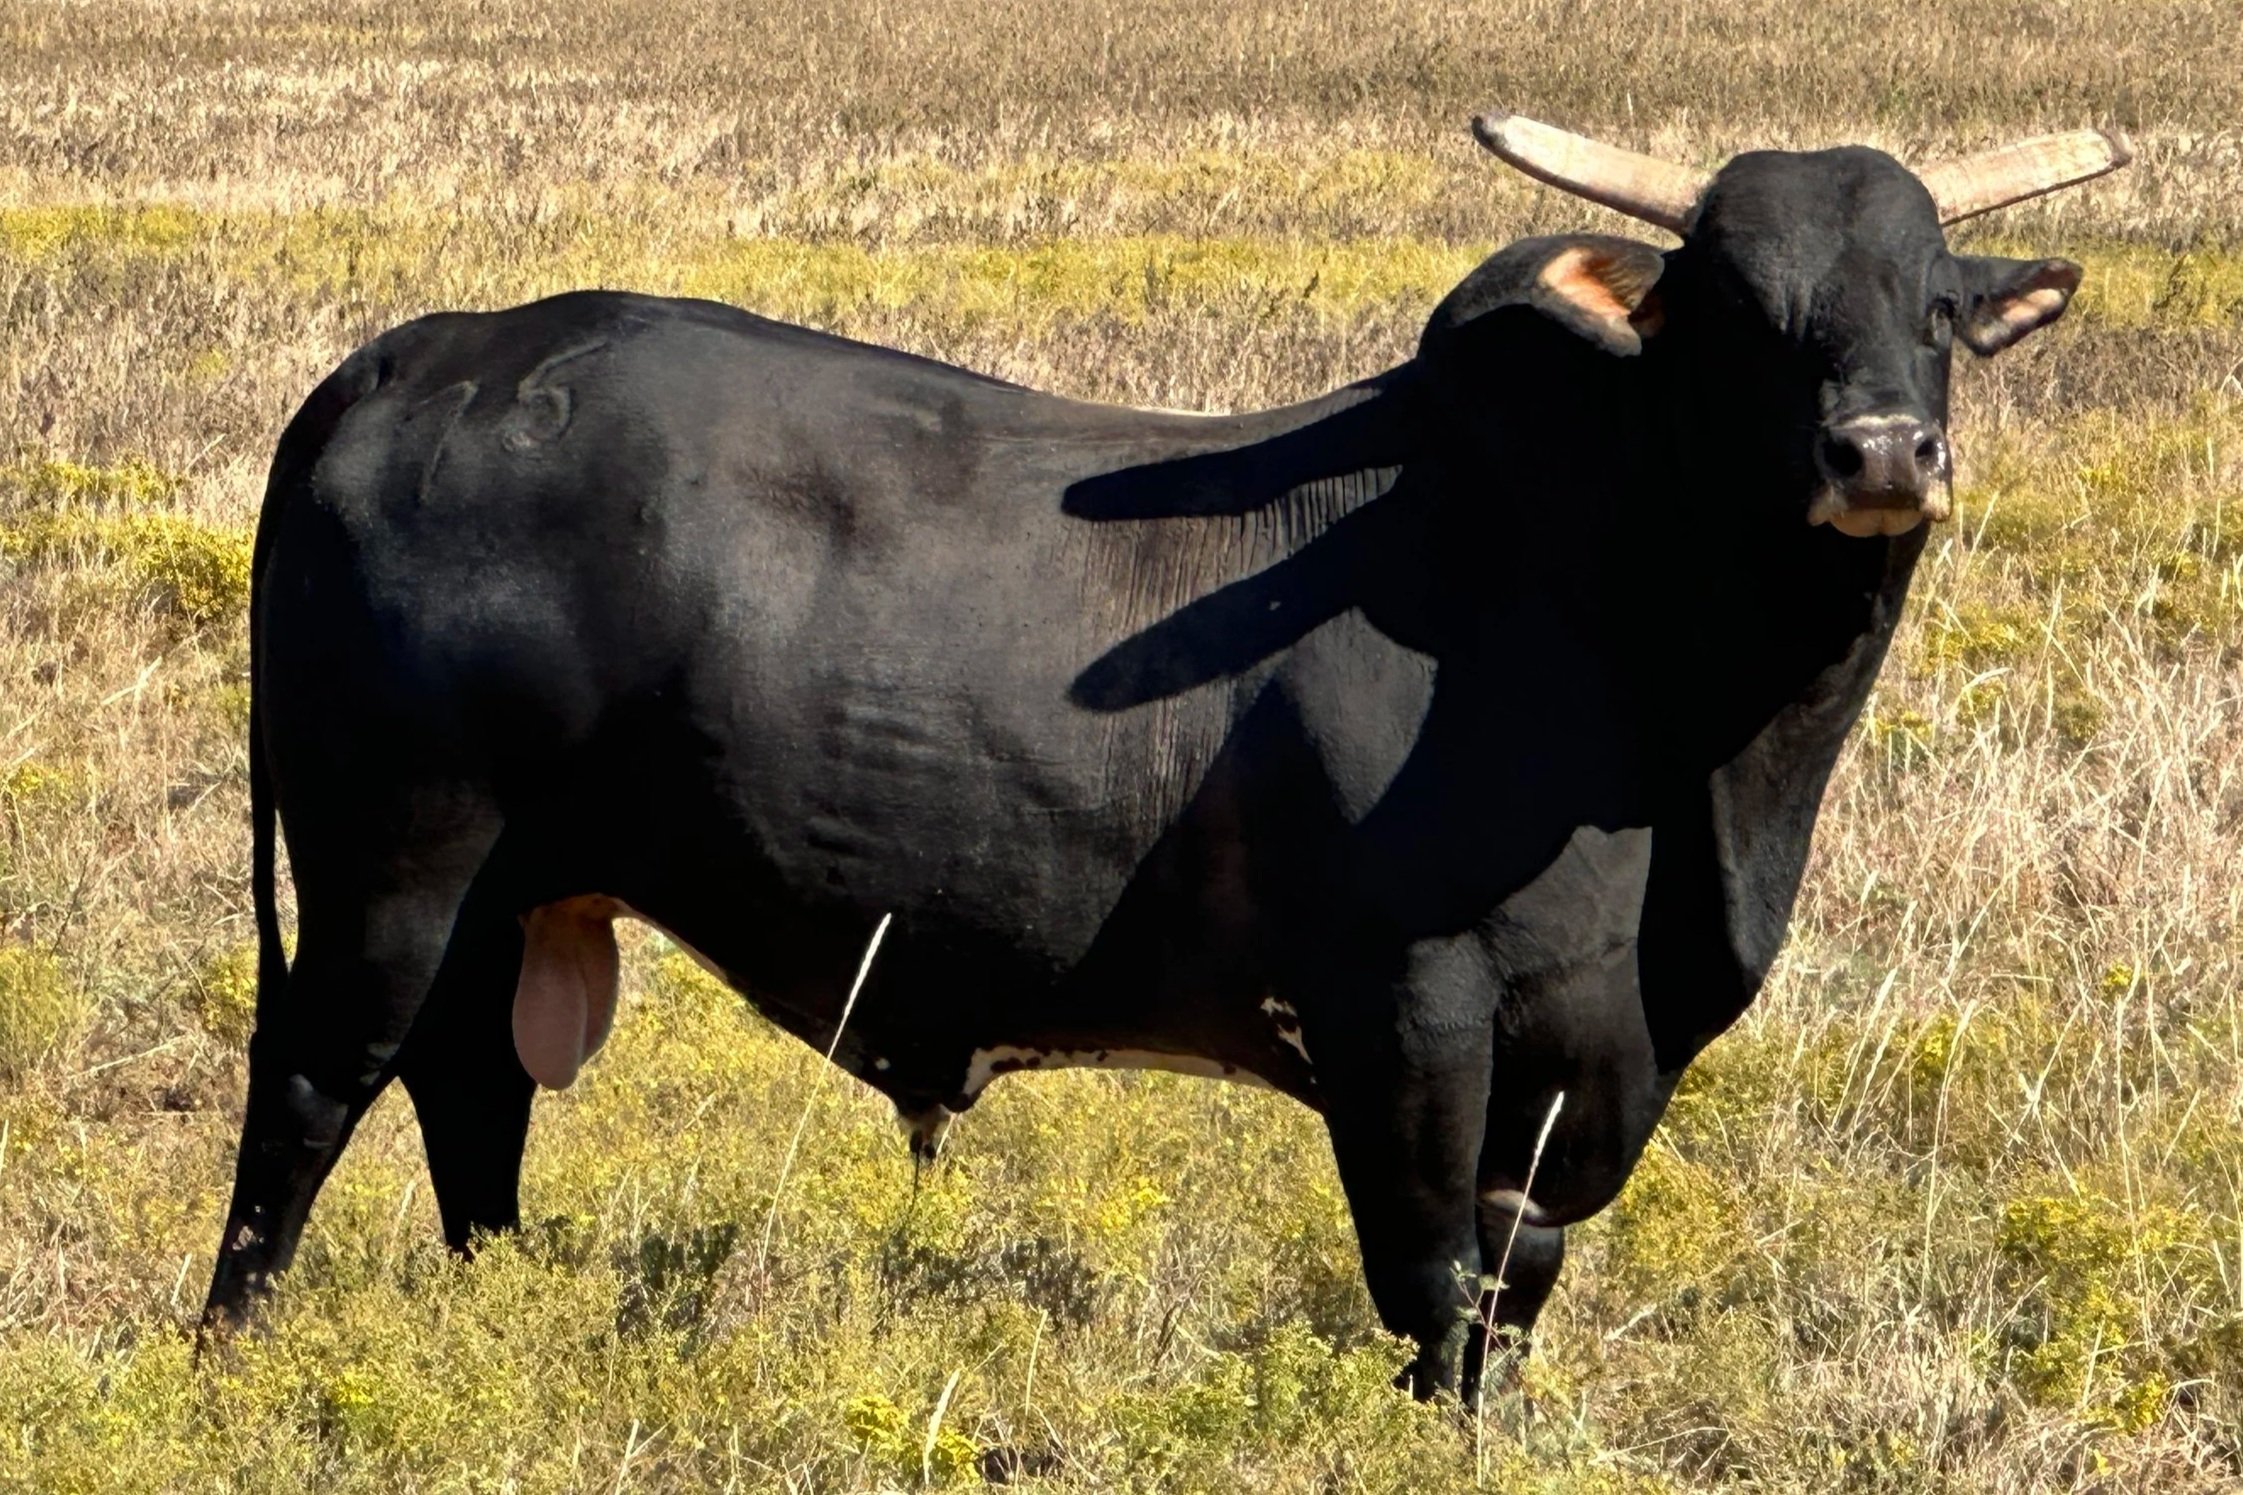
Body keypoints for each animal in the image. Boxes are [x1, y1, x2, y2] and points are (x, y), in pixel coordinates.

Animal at [200, 115, 2127, 1399]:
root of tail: (426, 352)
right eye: (1735, 309)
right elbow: (1428, 1273)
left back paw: (497, 1305)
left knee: (473, 1094)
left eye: (1936, 307)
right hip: (392, 867)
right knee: (312, 1088)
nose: (1879, 452)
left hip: (511, 891)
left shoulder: (1595, 1057)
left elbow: (1515, 1278)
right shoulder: (1407, 1008)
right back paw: (232, 1344)